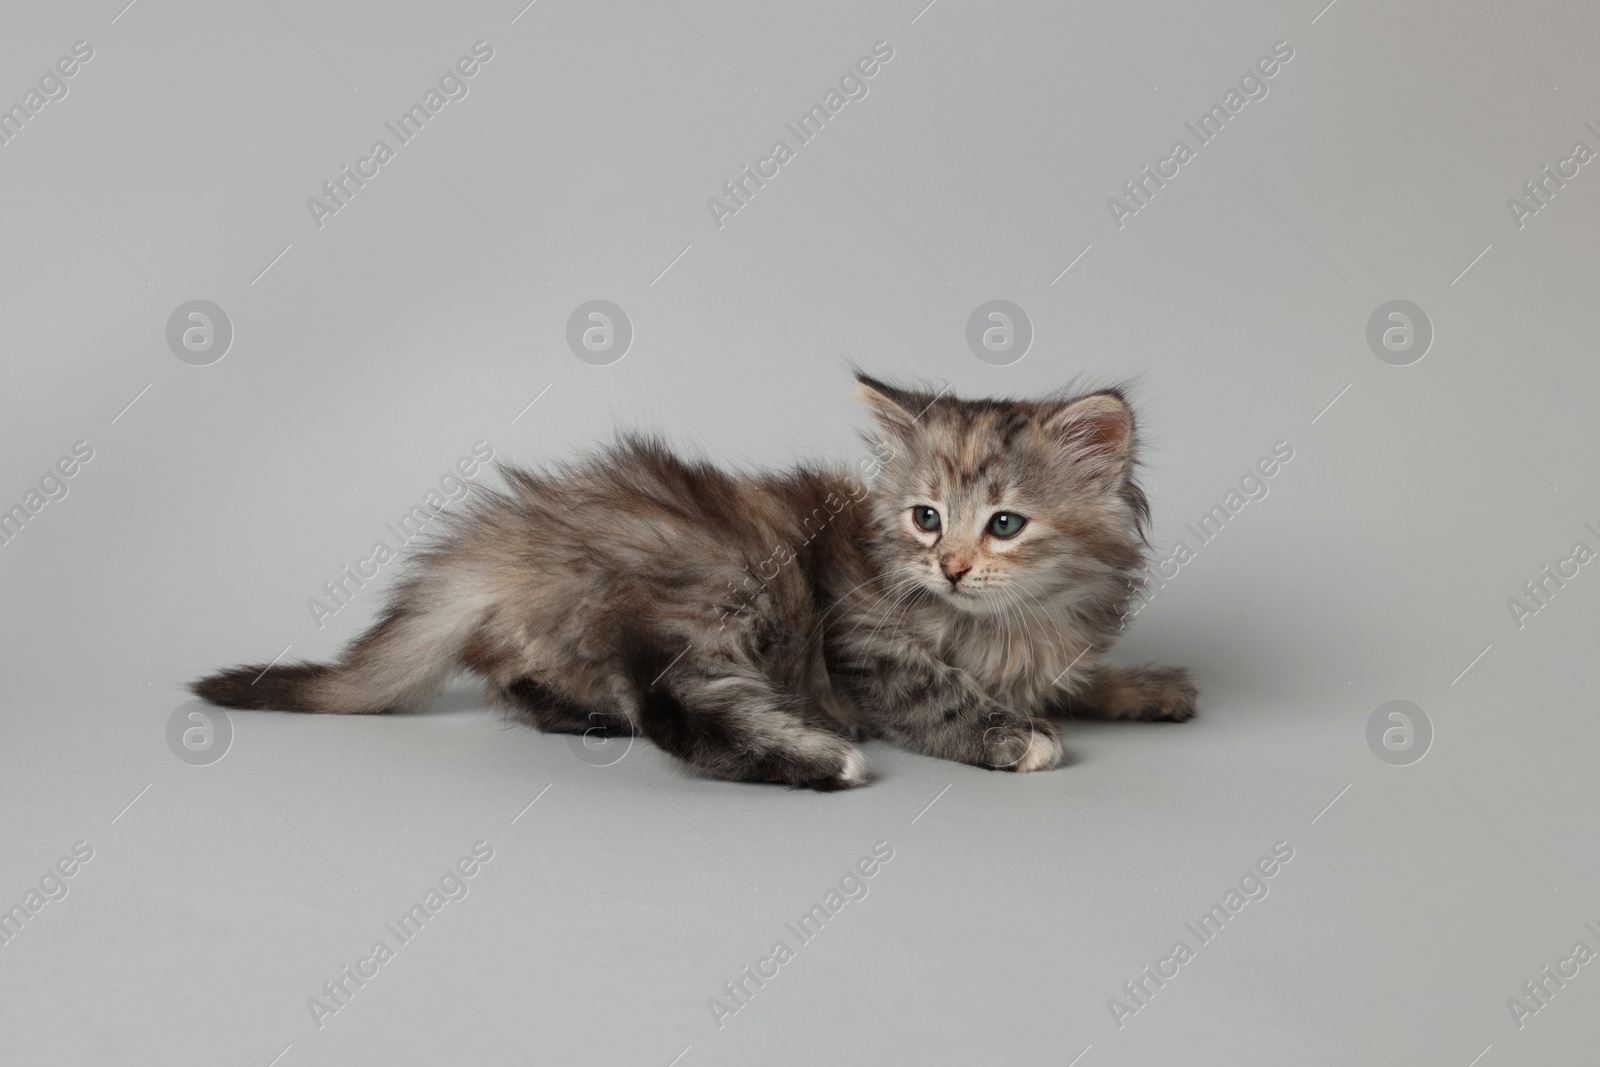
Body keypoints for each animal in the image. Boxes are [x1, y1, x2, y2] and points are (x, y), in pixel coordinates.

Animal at [193, 374, 1196, 783]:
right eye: (924, 517)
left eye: (1003, 524)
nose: (950, 565)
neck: (1014, 622)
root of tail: (515, 536)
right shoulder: (868, 646)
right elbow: (943, 695)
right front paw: (1015, 736)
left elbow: (1076, 680)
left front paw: (1149, 686)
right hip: (714, 582)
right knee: (677, 703)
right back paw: (818, 757)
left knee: (539, 686)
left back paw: (593, 713)